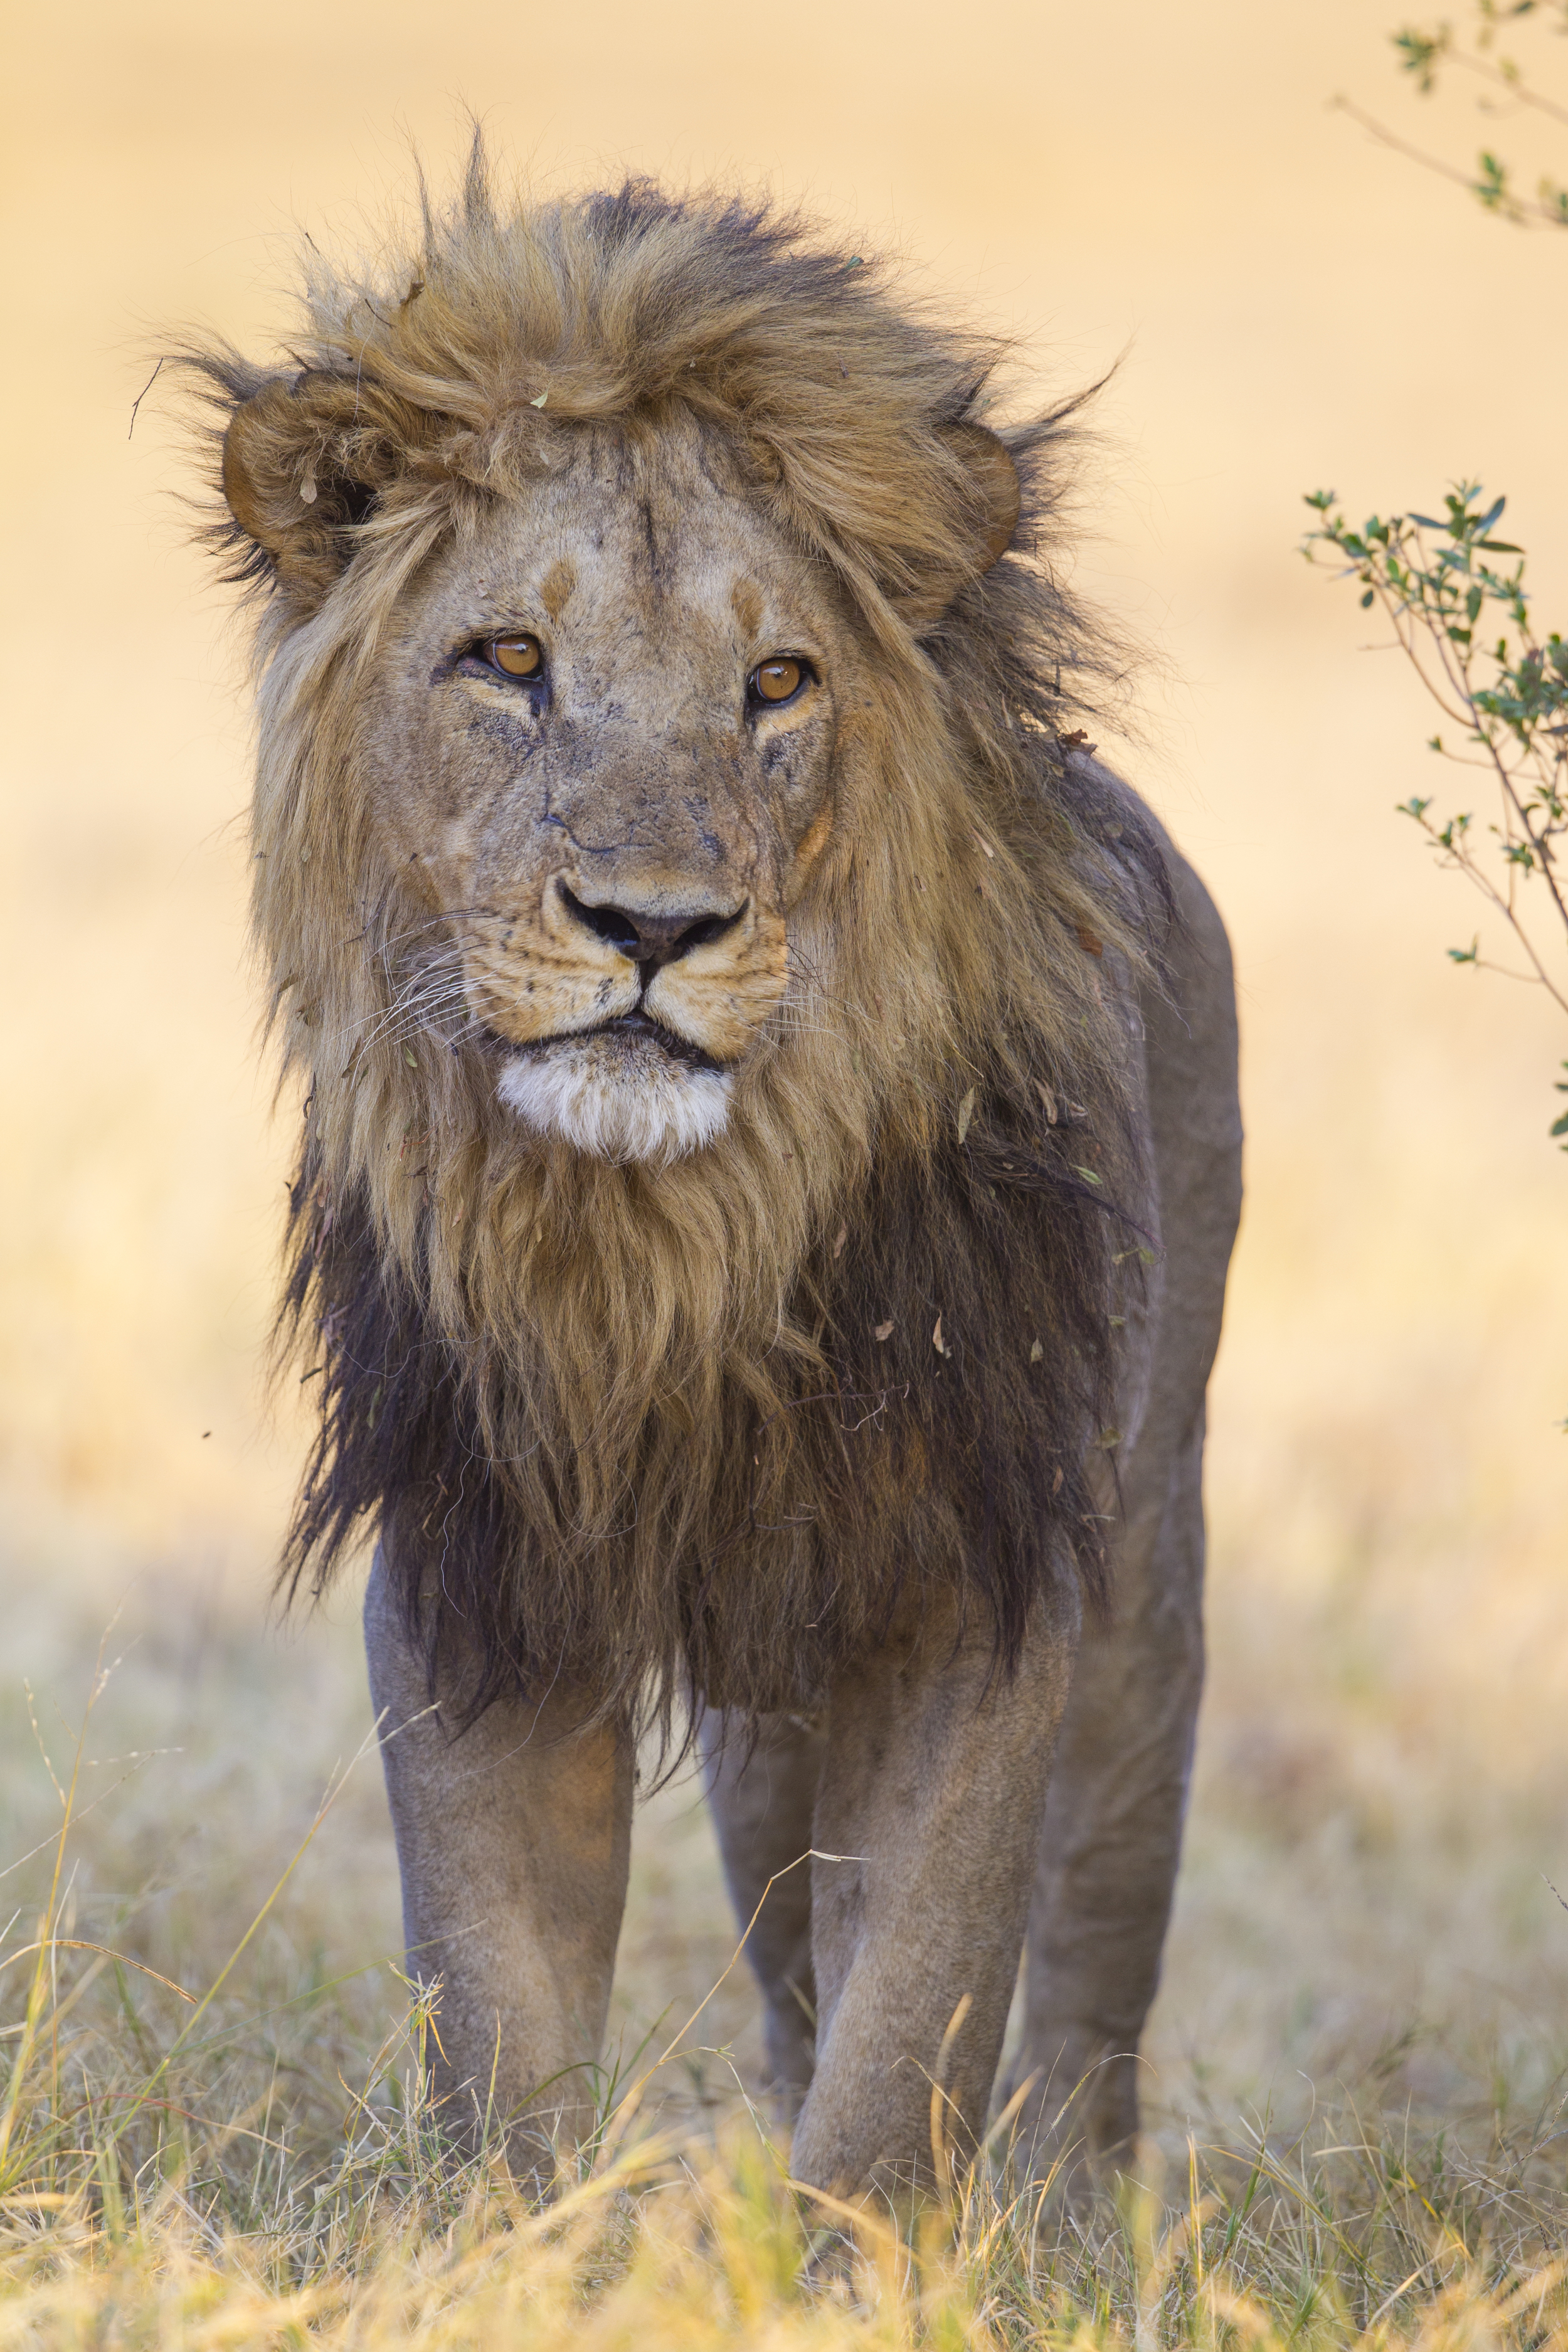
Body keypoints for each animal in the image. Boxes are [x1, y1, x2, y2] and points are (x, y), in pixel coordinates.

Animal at [184, 156, 1241, 2192]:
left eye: (777, 683)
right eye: (509, 661)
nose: (654, 923)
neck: (661, 1249)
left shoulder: (983, 1580)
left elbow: (923, 1999)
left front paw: (853, 2241)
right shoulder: (474, 1565)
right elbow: (494, 1993)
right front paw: (509, 2228)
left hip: (1144, 1556)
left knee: (1095, 1935)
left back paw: (1079, 2206)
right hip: (769, 1721)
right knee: (789, 1959)